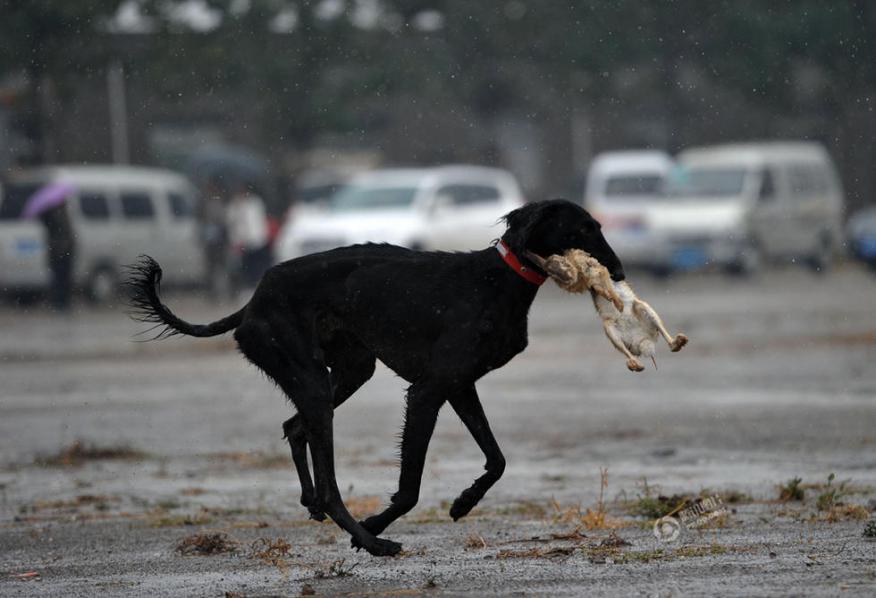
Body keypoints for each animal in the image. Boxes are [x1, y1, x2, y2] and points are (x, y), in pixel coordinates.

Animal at [128, 200, 624, 556]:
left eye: (596, 226)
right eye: (583, 229)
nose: (619, 273)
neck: (498, 280)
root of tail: (252, 302)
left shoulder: (459, 386)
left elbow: (497, 460)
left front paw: (463, 501)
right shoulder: (428, 391)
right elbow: (409, 489)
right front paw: (373, 525)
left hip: (349, 371)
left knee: (294, 427)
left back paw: (312, 504)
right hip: (312, 381)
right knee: (329, 482)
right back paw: (371, 541)